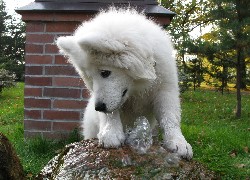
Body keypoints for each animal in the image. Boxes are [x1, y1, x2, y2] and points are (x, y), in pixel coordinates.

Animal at [57, 8, 193, 159]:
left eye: (105, 72)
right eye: (90, 78)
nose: (98, 107)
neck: (137, 88)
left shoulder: (165, 90)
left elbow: (170, 117)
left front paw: (178, 142)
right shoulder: (111, 99)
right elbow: (111, 113)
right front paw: (110, 133)